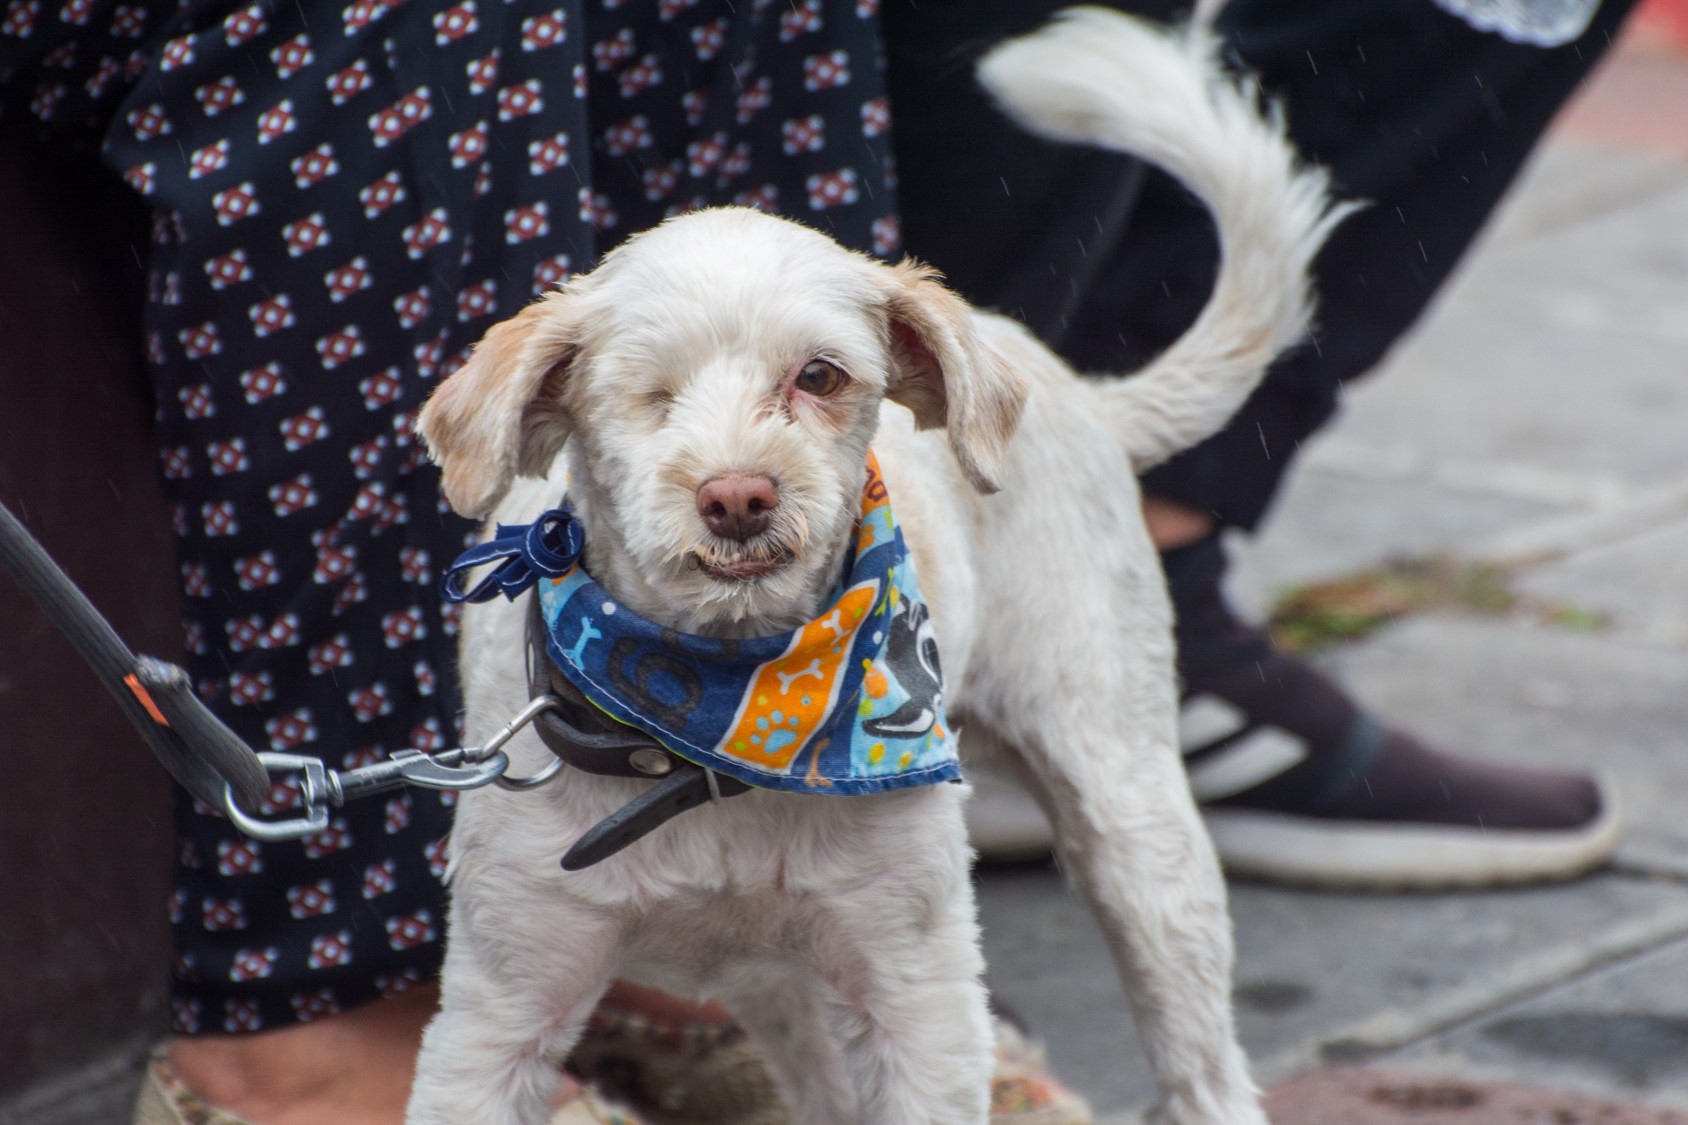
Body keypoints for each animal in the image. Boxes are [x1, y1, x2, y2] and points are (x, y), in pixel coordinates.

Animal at [405, 10, 1343, 1121]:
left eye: (819, 375)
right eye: (647, 393)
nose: (738, 497)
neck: (710, 727)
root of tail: (1075, 386)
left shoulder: (918, 994)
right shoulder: (497, 1014)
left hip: (1133, 826)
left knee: (1200, 1059)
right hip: (787, 990)